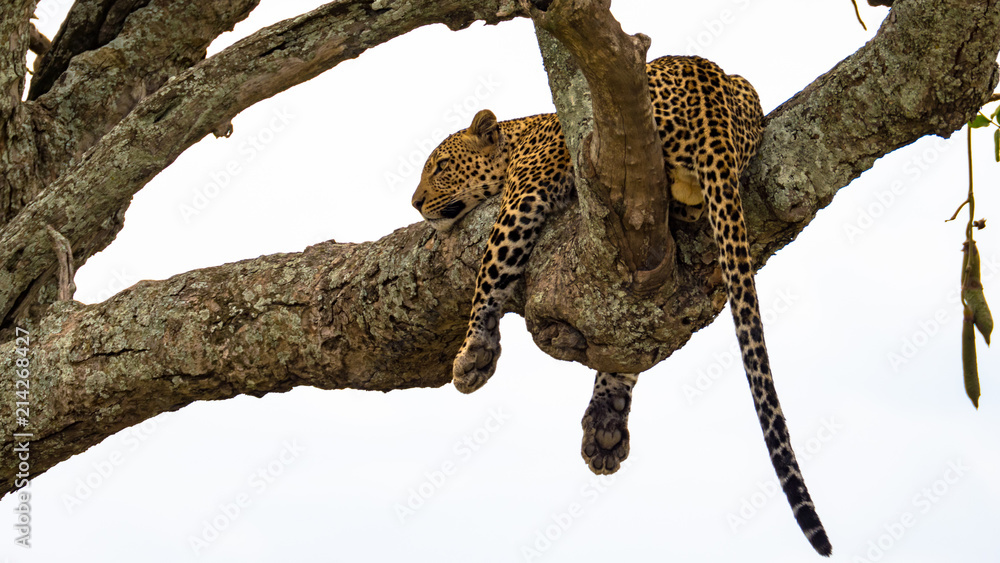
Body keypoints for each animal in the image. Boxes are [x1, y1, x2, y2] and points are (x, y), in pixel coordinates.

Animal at [411, 55, 832, 556]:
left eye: (440, 167)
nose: (415, 203)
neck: (518, 136)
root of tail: (703, 82)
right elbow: (623, 335)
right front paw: (607, 419)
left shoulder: (523, 196)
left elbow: (490, 271)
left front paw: (475, 350)